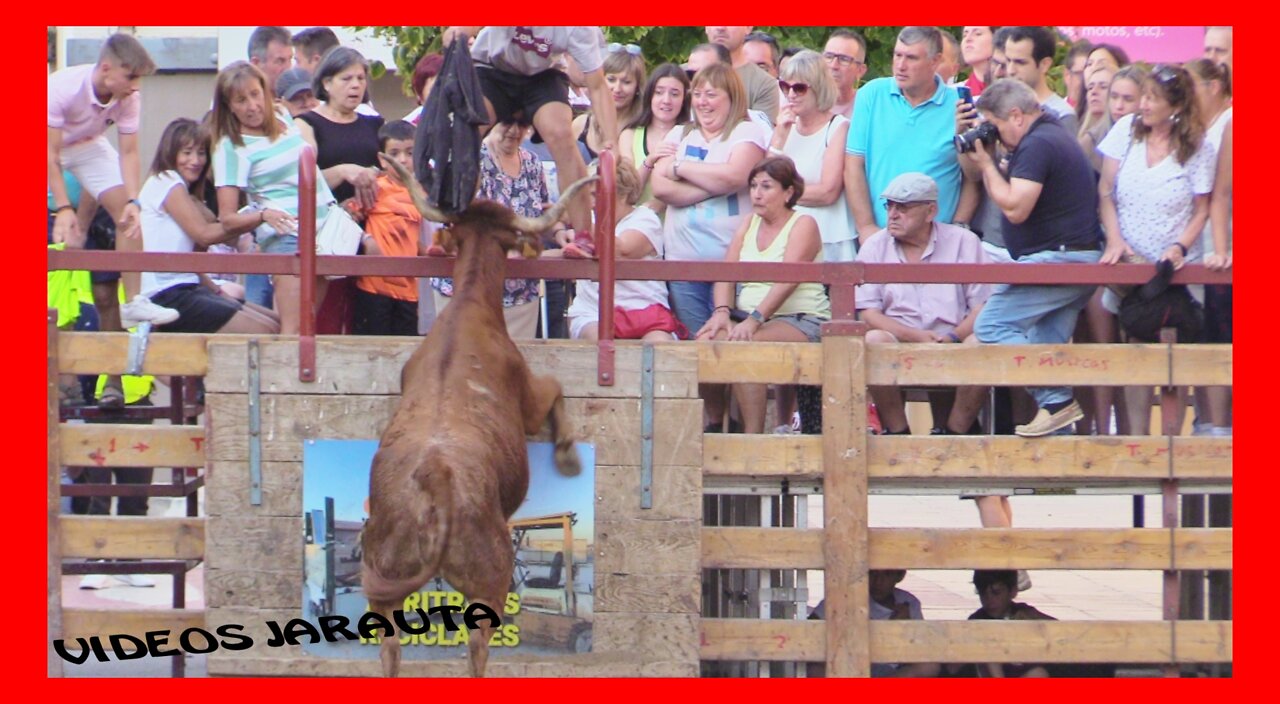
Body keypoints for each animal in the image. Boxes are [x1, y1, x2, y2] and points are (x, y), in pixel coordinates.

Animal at [358, 156, 591, 680]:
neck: (469, 307)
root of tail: (437, 480)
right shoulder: (529, 395)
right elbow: (555, 389)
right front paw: (568, 456)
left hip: (382, 579)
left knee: (390, 650)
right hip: (491, 580)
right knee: (478, 650)